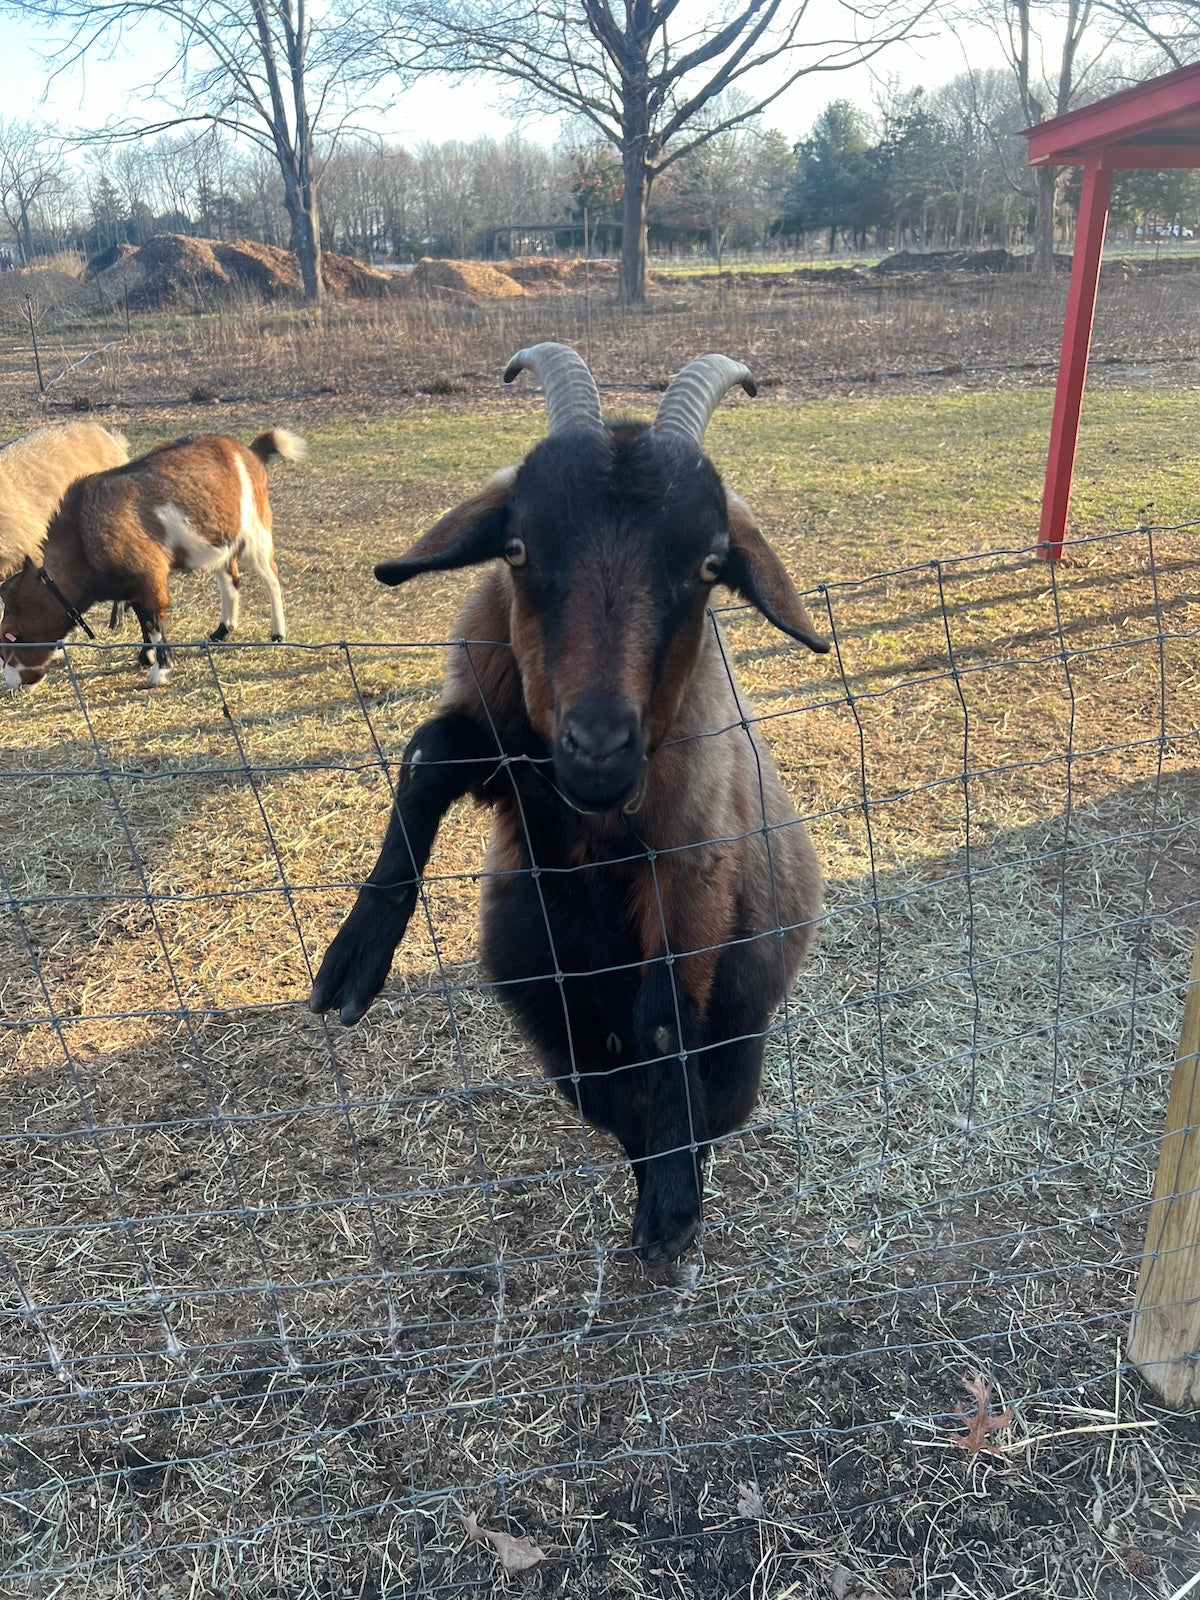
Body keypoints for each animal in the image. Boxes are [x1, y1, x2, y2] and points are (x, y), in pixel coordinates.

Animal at [0, 432, 305, 688]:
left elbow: (154, 620)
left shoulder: (148, 575)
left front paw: (159, 671)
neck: (82, 536)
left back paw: (277, 634)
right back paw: (222, 630)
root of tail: (249, 451)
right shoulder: (132, 584)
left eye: (10, 640)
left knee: (270, 576)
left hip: (255, 530)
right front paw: (145, 656)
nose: (13, 684)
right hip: (218, 539)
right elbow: (142, 616)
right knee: (230, 577)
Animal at [310, 350, 825, 1260]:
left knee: (698, 1092)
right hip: (567, 1044)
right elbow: (427, 753)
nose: (597, 747)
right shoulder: (513, 760)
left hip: (741, 1040)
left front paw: (672, 1207)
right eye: (517, 549)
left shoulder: (693, 862)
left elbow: (665, 1019)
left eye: (707, 566)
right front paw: (354, 958)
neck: (596, 814)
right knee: (616, 1105)